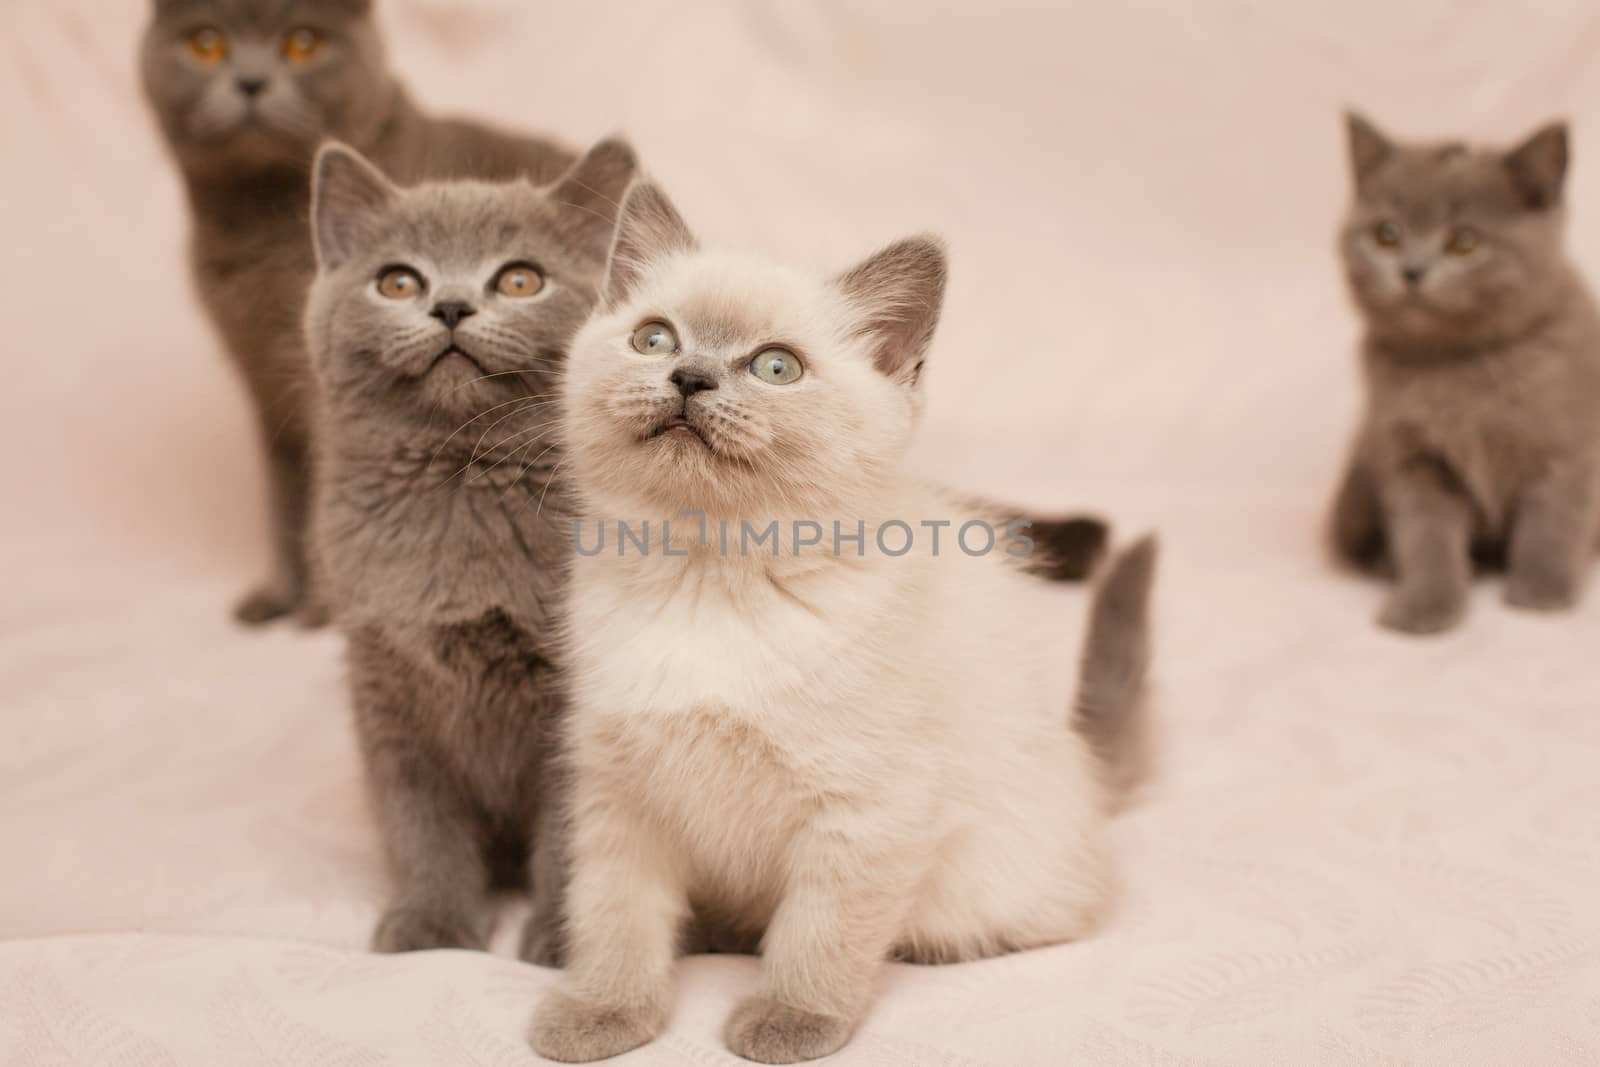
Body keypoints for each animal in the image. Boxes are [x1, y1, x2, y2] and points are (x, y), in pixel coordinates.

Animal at [137, 0, 576, 627]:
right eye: (206, 43)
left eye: (303, 43)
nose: (250, 80)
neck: (261, 228)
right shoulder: (261, 381)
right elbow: (282, 488)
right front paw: (278, 596)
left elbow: (326, 486)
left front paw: (324, 607)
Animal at [300, 137, 636, 966]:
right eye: (397, 281)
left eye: (520, 279)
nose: (450, 305)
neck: (461, 481)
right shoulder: (385, 684)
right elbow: (421, 824)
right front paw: (430, 926)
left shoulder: (573, 702)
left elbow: (568, 836)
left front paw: (561, 939)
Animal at [537, 183, 1164, 1067]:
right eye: (653, 337)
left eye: (775, 366)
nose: (689, 376)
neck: (710, 578)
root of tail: (1086, 764)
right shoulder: (620, 791)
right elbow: (613, 915)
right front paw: (600, 1012)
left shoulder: (867, 806)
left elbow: (820, 930)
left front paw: (791, 1020)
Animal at [1324, 115, 1600, 633]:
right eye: (1386, 234)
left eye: (1464, 242)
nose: (1412, 271)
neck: (1461, 364)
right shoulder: (1411, 456)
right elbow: (1426, 535)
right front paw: (1425, 604)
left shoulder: (1569, 444)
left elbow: (1554, 518)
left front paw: (1543, 589)